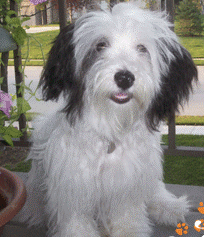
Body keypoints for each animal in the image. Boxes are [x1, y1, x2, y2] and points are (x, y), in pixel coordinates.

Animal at [19, 2, 198, 237]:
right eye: (101, 45)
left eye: (142, 48)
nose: (124, 78)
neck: (112, 127)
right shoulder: (72, 184)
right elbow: (76, 219)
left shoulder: (128, 180)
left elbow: (127, 212)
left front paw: (130, 230)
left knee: (154, 189)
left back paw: (168, 206)